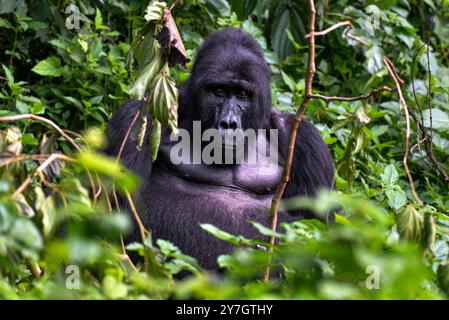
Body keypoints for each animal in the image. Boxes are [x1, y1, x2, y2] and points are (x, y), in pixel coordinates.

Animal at [106, 28, 332, 270]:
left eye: (242, 94)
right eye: (218, 91)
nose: (228, 123)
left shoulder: (306, 141)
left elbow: (321, 226)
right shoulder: (138, 116)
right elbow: (120, 210)